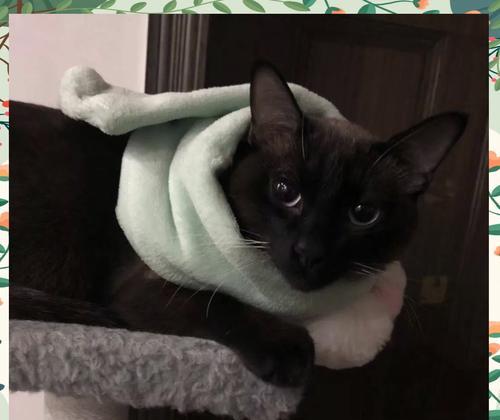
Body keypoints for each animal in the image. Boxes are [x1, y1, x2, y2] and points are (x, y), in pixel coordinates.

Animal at [10, 62, 467, 387]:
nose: (309, 252)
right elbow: (218, 301)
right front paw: (290, 350)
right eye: (285, 190)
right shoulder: (145, 283)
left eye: (363, 213)